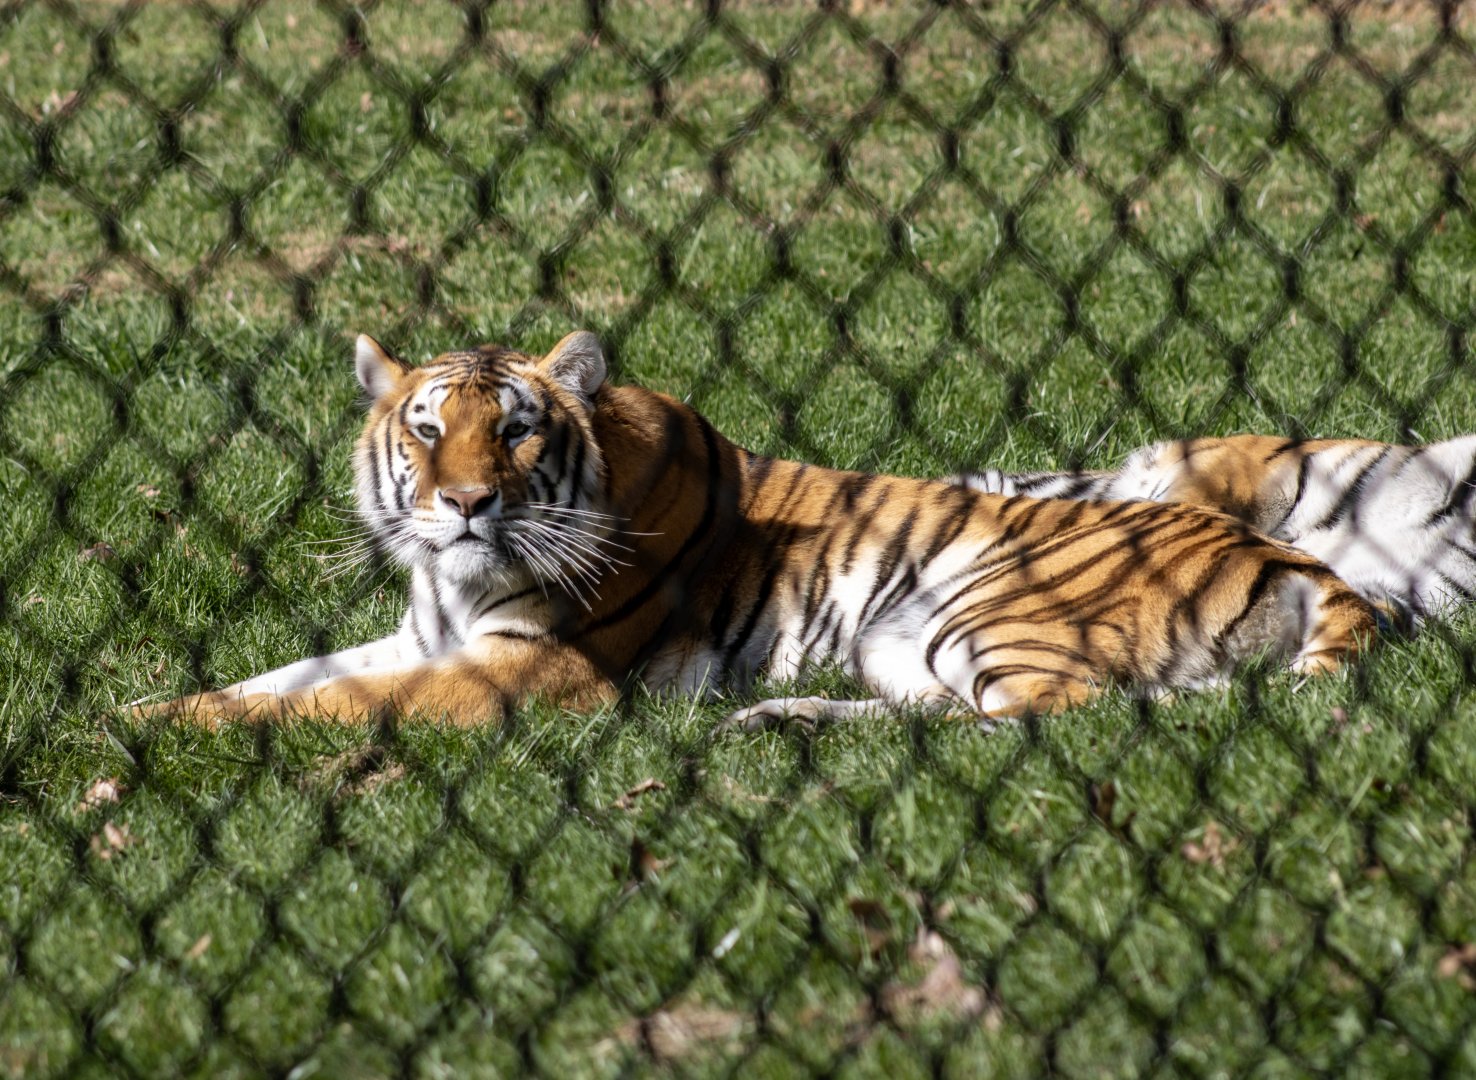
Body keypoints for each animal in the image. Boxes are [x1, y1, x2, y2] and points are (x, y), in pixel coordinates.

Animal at [137, 331, 1377, 730]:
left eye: (520, 432)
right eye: (430, 430)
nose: (468, 503)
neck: (454, 588)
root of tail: (1287, 551)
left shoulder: (527, 671)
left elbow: (339, 701)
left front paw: (158, 736)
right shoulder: (427, 638)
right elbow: (288, 675)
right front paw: (140, 713)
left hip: (989, 611)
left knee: (1052, 720)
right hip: (901, 640)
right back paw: (784, 722)